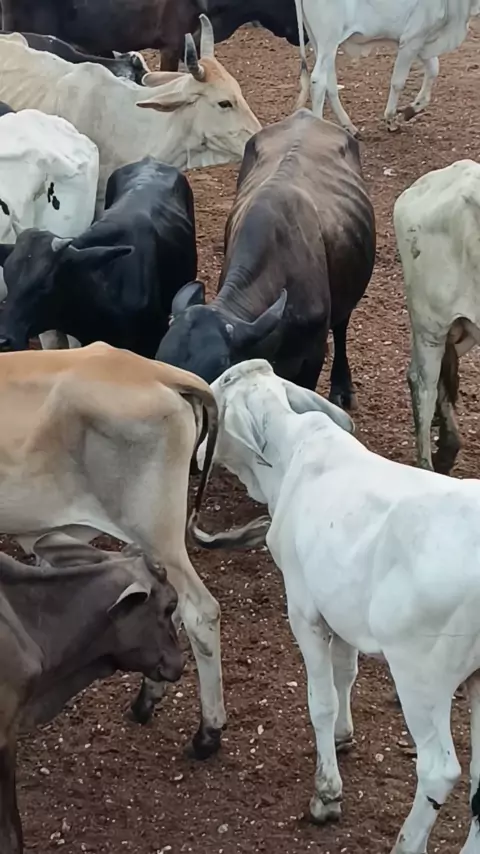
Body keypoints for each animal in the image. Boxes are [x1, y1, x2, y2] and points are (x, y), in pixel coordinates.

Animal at [193, 357, 480, 854]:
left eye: (219, 391)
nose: (194, 457)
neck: (289, 456)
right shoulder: (340, 608)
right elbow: (346, 674)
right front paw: (345, 737)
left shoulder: (305, 610)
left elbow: (321, 700)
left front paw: (327, 794)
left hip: (421, 676)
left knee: (439, 770)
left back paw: (407, 842)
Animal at [293, 0, 480, 136]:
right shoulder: (411, 39)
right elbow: (398, 82)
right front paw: (391, 119)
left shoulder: (422, 41)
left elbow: (434, 69)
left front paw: (413, 108)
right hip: (328, 40)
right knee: (318, 81)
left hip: (321, 43)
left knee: (330, 84)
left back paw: (349, 127)